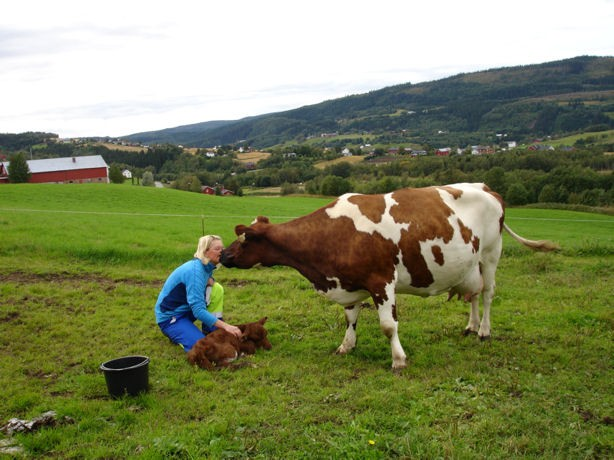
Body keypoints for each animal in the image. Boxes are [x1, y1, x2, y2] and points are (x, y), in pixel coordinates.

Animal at [220, 183, 560, 370]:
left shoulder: (381, 281)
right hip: (470, 262)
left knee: (487, 294)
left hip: (491, 253)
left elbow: (387, 325)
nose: (222, 254)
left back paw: (485, 331)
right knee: (473, 294)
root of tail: (487, 188)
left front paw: (398, 359)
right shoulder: (348, 282)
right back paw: (471, 326)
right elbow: (350, 318)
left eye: (244, 240)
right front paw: (346, 346)